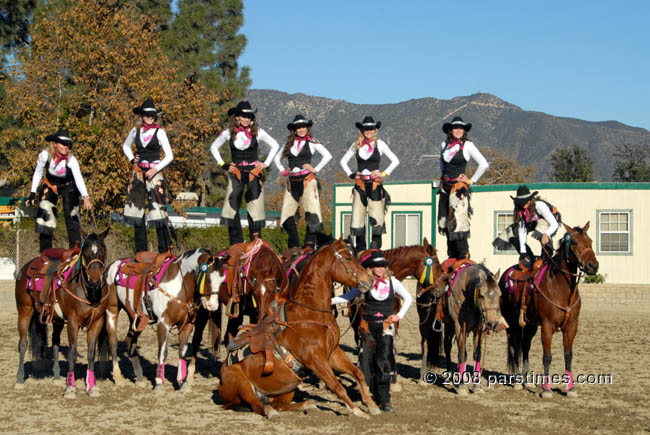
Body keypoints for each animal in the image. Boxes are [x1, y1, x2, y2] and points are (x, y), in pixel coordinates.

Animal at [13, 228, 109, 398]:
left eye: (103, 251)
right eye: (85, 253)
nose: (95, 281)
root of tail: (25, 268)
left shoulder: (97, 322)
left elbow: (91, 353)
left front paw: (92, 387)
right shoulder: (73, 322)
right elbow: (71, 352)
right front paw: (70, 387)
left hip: (57, 320)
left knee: (55, 343)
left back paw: (57, 377)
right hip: (24, 311)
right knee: (23, 344)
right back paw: (19, 380)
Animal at [101, 249, 223, 392]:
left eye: (223, 280)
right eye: (208, 278)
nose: (212, 306)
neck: (179, 283)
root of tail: (109, 267)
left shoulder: (186, 325)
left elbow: (182, 352)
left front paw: (182, 382)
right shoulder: (163, 323)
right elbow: (162, 353)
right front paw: (159, 383)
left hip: (136, 317)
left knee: (130, 340)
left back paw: (140, 377)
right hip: (112, 310)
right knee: (113, 341)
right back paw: (118, 377)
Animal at [270, 240, 378, 418]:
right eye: (348, 258)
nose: (370, 280)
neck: (310, 313)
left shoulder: (333, 352)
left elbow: (357, 373)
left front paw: (371, 404)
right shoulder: (316, 360)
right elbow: (337, 386)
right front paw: (356, 410)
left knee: (279, 405)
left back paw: (308, 404)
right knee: (274, 405)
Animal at [440, 264, 502, 396]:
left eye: (499, 295)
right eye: (482, 295)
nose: (492, 323)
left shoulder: (479, 329)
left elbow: (477, 355)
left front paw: (476, 385)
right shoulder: (459, 327)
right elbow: (462, 354)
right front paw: (462, 386)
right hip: (448, 325)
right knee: (447, 346)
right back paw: (450, 375)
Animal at [496, 225, 596, 398]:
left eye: (590, 241)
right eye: (574, 242)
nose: (593, 266)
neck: (560, 288)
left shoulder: (571, 326)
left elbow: (568, 355)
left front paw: (570, 389)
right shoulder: (547, 326)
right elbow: (547, 356)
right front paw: (546, 389)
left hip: (530, 325)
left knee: (525, 346)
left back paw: (527, 381)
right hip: (513, 322)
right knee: (515, 346)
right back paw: (517, 382)